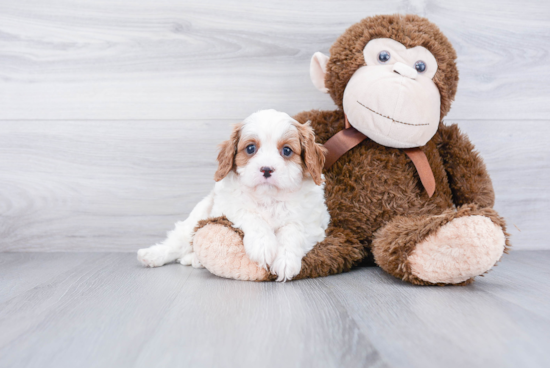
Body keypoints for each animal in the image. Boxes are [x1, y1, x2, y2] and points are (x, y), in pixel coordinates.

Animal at [138, 109, 330, 282]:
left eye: (287, 151)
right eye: (251, 148)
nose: (266, 169)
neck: (268, 197)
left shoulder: (311, 222)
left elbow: (293, 230)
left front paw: (285, 260)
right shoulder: (227, 206)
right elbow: (252, 216)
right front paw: (263, 245)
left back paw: (194, 260)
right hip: (196, 218)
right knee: (178, 242)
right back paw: (151, 255)